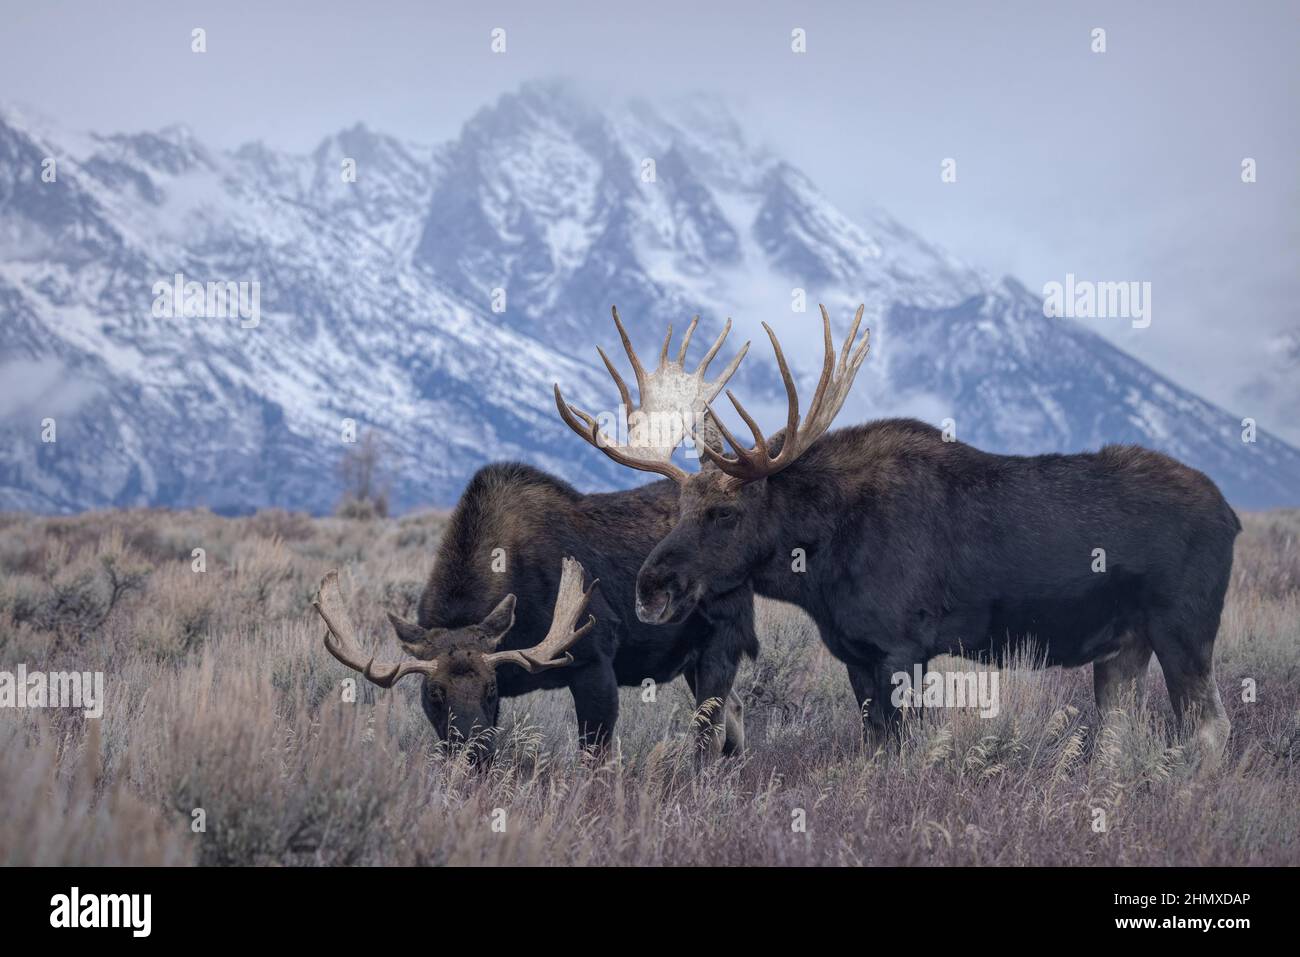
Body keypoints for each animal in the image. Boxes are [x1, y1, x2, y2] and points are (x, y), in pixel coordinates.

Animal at [313, 314, 759, 764]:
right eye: (434, 693)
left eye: (490, 687)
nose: (473, 750)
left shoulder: (595, 658)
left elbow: (595, 755)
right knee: (734, 713)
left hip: (723, 638)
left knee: (709, 732)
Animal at [556, 304, 1237, 764]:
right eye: (676, 509)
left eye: (724, 513)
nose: (651, 588)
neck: (818, 566)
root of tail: (1230, 514)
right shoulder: (857, 654)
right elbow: (877, 745)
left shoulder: (903, 647)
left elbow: (903, 751)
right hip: (1124, 646)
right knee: (1123, 735)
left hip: (1183, 628)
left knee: (1211, 729)